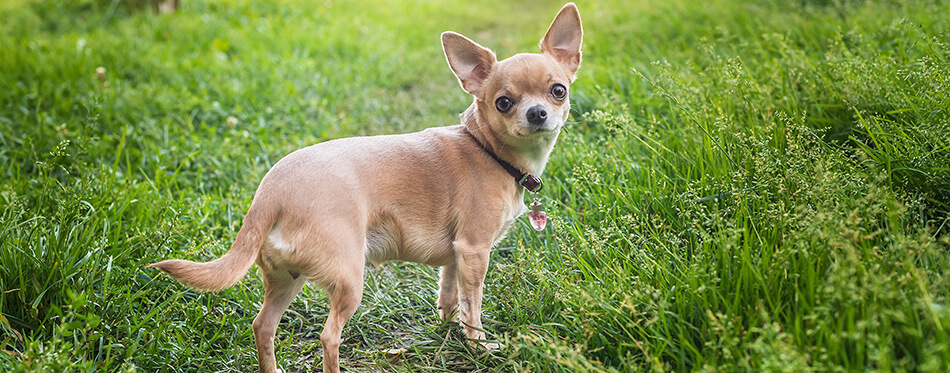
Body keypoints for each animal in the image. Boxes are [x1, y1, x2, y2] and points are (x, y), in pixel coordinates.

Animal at [151, 3, 580, 372]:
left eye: (558, 90)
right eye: (504, 102)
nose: (537, 113)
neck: (486, 149)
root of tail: (269, 193)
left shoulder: (457, 254)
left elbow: (449, 294)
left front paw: (446, 329)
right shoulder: (475, 251)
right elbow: (471, 306)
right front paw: (477, 346)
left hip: (287, 279)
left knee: (263, 326)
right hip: (348, 279)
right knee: (328, 337)